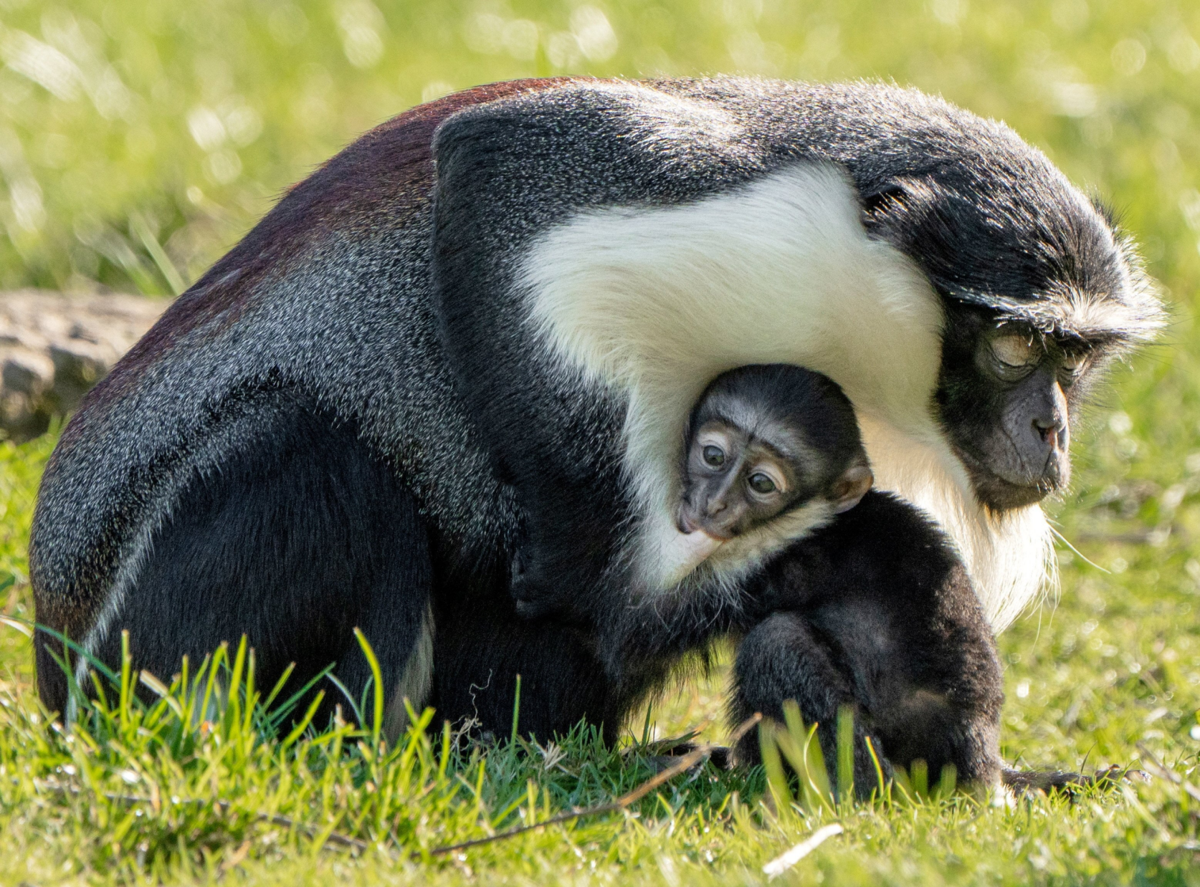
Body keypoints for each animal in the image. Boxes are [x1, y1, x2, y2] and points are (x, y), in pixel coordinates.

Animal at [30, 80, 1161, 754]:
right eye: (1015, 347)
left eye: (1076, 361)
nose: (1052, 430)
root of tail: (56, 647)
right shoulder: (728, 199)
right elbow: (490, 163)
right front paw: (595, 580)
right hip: (152, 646)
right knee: (313, 451)